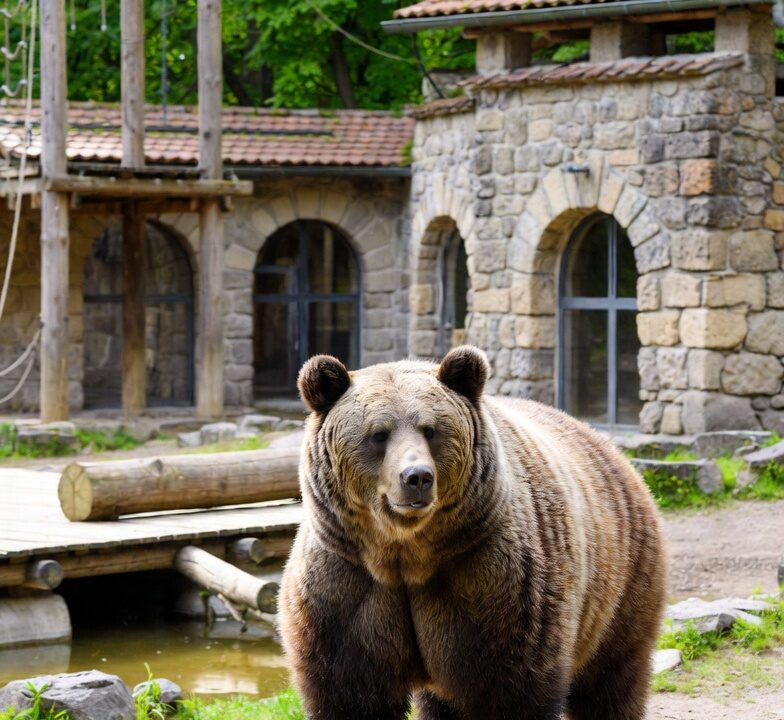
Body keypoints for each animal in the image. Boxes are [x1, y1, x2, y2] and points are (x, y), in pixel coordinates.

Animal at [279, 345, 667, 720]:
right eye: (378, 434)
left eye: (430, 429)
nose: (416, 477)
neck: (406, 555)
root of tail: (607, 446)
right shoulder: (345, 586)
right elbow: (350, 694)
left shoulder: (494, 583)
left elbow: (509, 690)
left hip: (620, 583)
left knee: (611, 681)